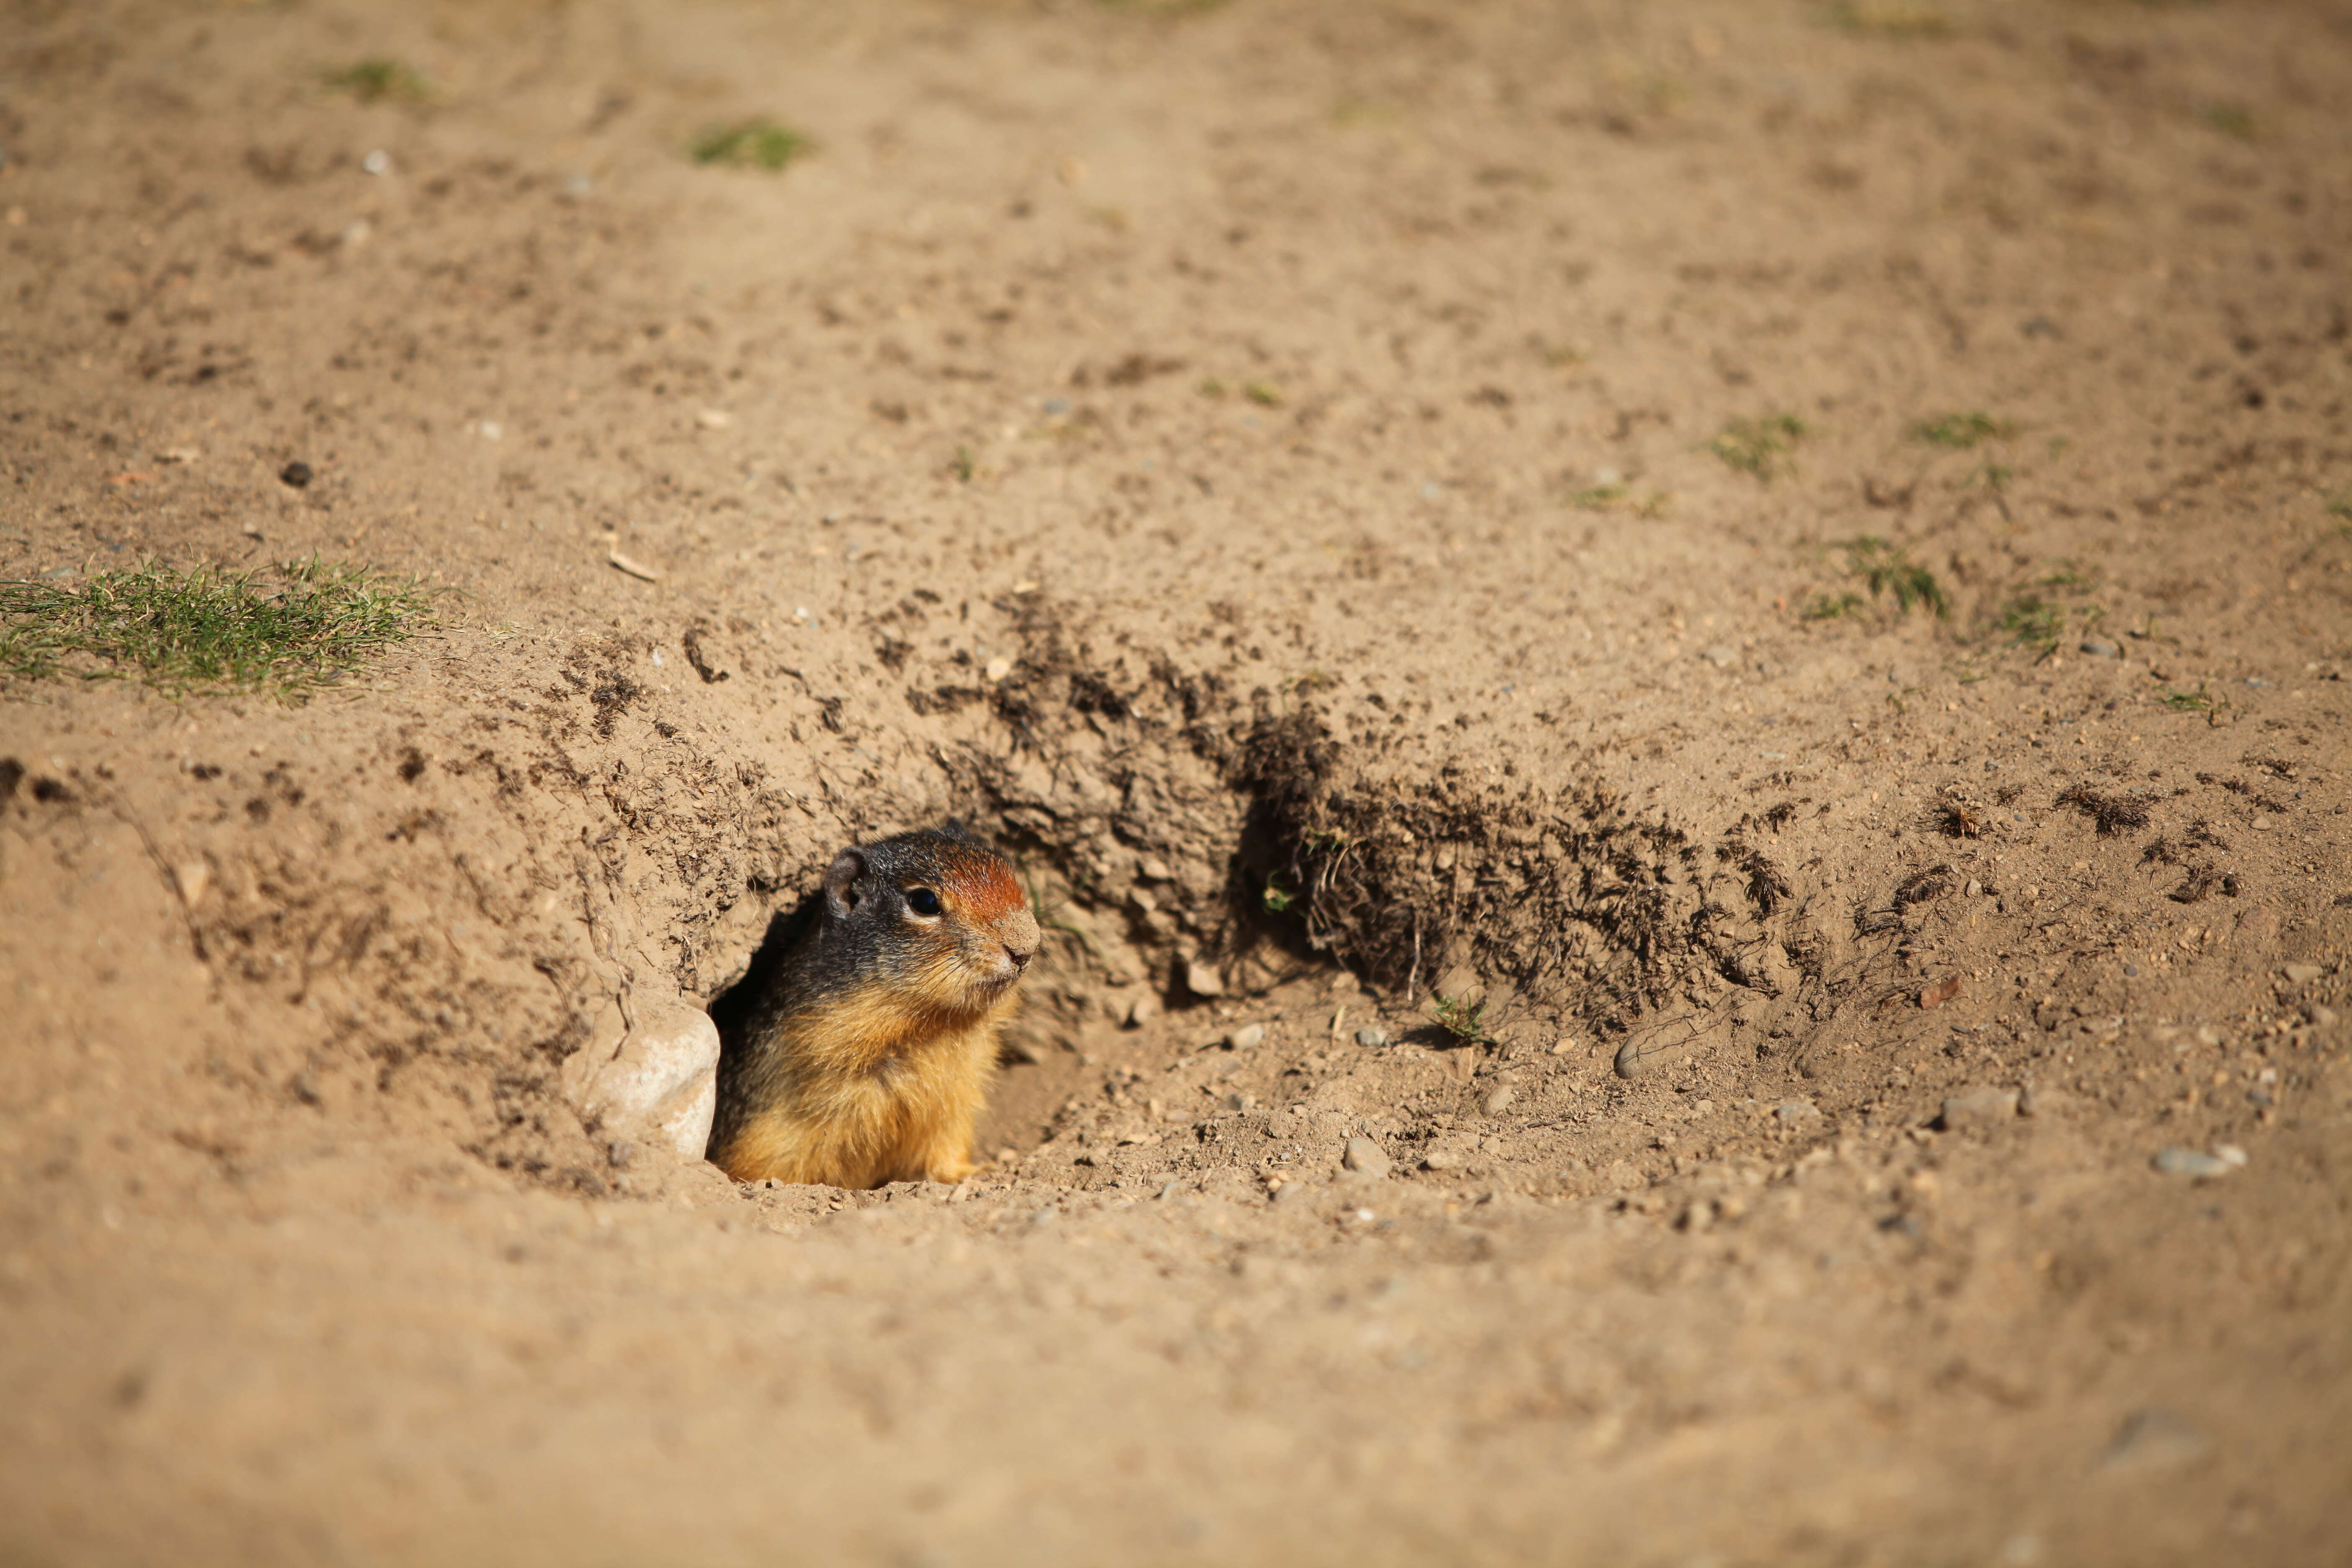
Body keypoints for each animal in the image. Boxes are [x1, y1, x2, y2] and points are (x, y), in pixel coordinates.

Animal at [701, 827, 1044, 1185]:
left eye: (1006, 868)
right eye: (924, 902)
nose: (1026, 946)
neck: (930, 1030)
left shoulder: (954, 1102)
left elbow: (944, 1152)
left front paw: (976, 1171)